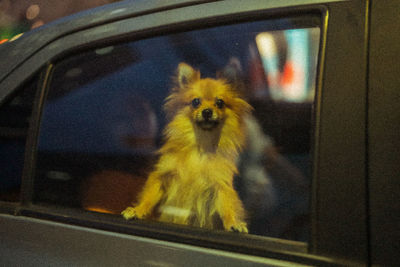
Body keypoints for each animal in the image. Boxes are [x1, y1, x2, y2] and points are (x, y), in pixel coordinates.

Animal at [122, 62, 253, 232]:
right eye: (195, 102)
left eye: (220, 103)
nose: (207, 111)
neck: (201, 145)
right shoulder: (162, 175)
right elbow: (149, 196)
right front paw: (138, 210)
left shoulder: (220, 186)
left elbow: (227, 206)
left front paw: (233, 223)